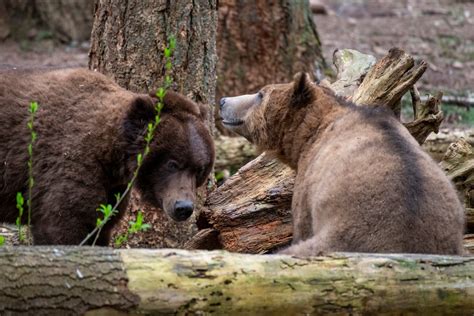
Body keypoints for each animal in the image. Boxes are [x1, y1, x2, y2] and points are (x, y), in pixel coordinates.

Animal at [0, 67, 213, 244]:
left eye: (199, 169)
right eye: (172, 163)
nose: (183, 207)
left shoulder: (112, 190)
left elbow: (101, 226)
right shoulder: (66, 165)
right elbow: (63, 226)